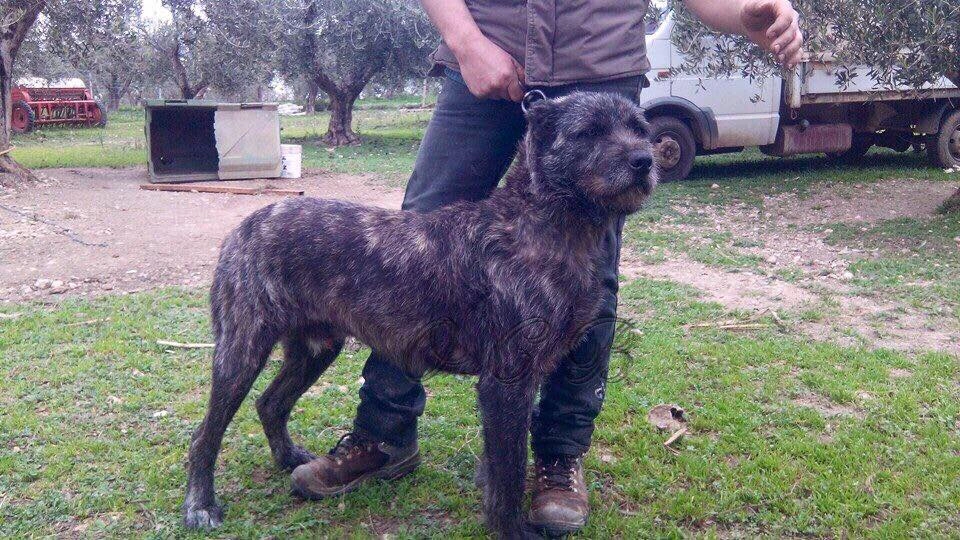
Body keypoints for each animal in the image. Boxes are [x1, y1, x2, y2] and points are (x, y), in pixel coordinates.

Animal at [184, 93, 656, 536]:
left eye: (640, 129)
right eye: (589, 132)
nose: (645, 161)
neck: (539, 221)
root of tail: (246, 226)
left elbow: (498, 465)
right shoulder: (507, 382)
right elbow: (508, 471)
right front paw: (510, 529)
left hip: (315, 350)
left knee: (270, 403)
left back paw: (287, 458)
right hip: (241, 352)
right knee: (204, 435)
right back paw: (201, 504)